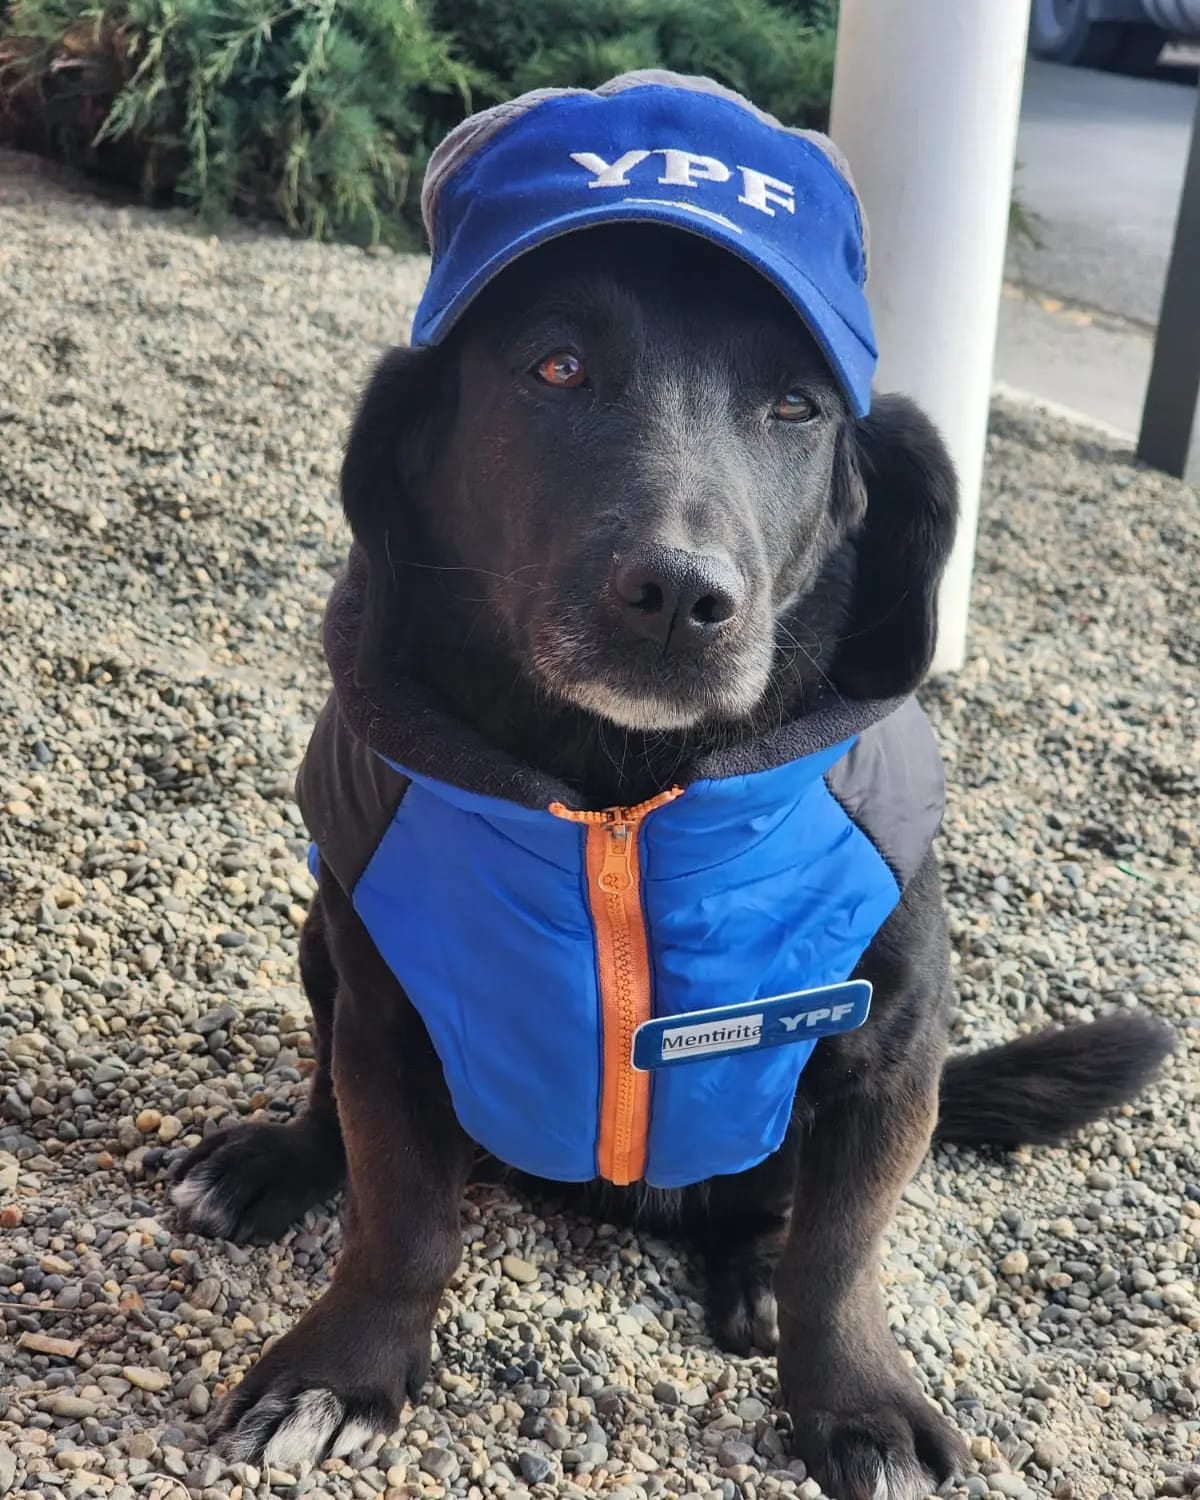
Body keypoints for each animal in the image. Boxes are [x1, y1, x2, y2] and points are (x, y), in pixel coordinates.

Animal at [171, 225, 1170, 1500]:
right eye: (555, 367)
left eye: (797, 405)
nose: (682, 596)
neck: (619, 796)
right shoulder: (392, 1021)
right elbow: (399, 1213)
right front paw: (343, 1371)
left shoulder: (891, 1051)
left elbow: (841, 1258)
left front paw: (860, 1406)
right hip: (323, 941)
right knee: (328, 1098)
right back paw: (273, 1163)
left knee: (774, 1223)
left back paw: (750, 1274)